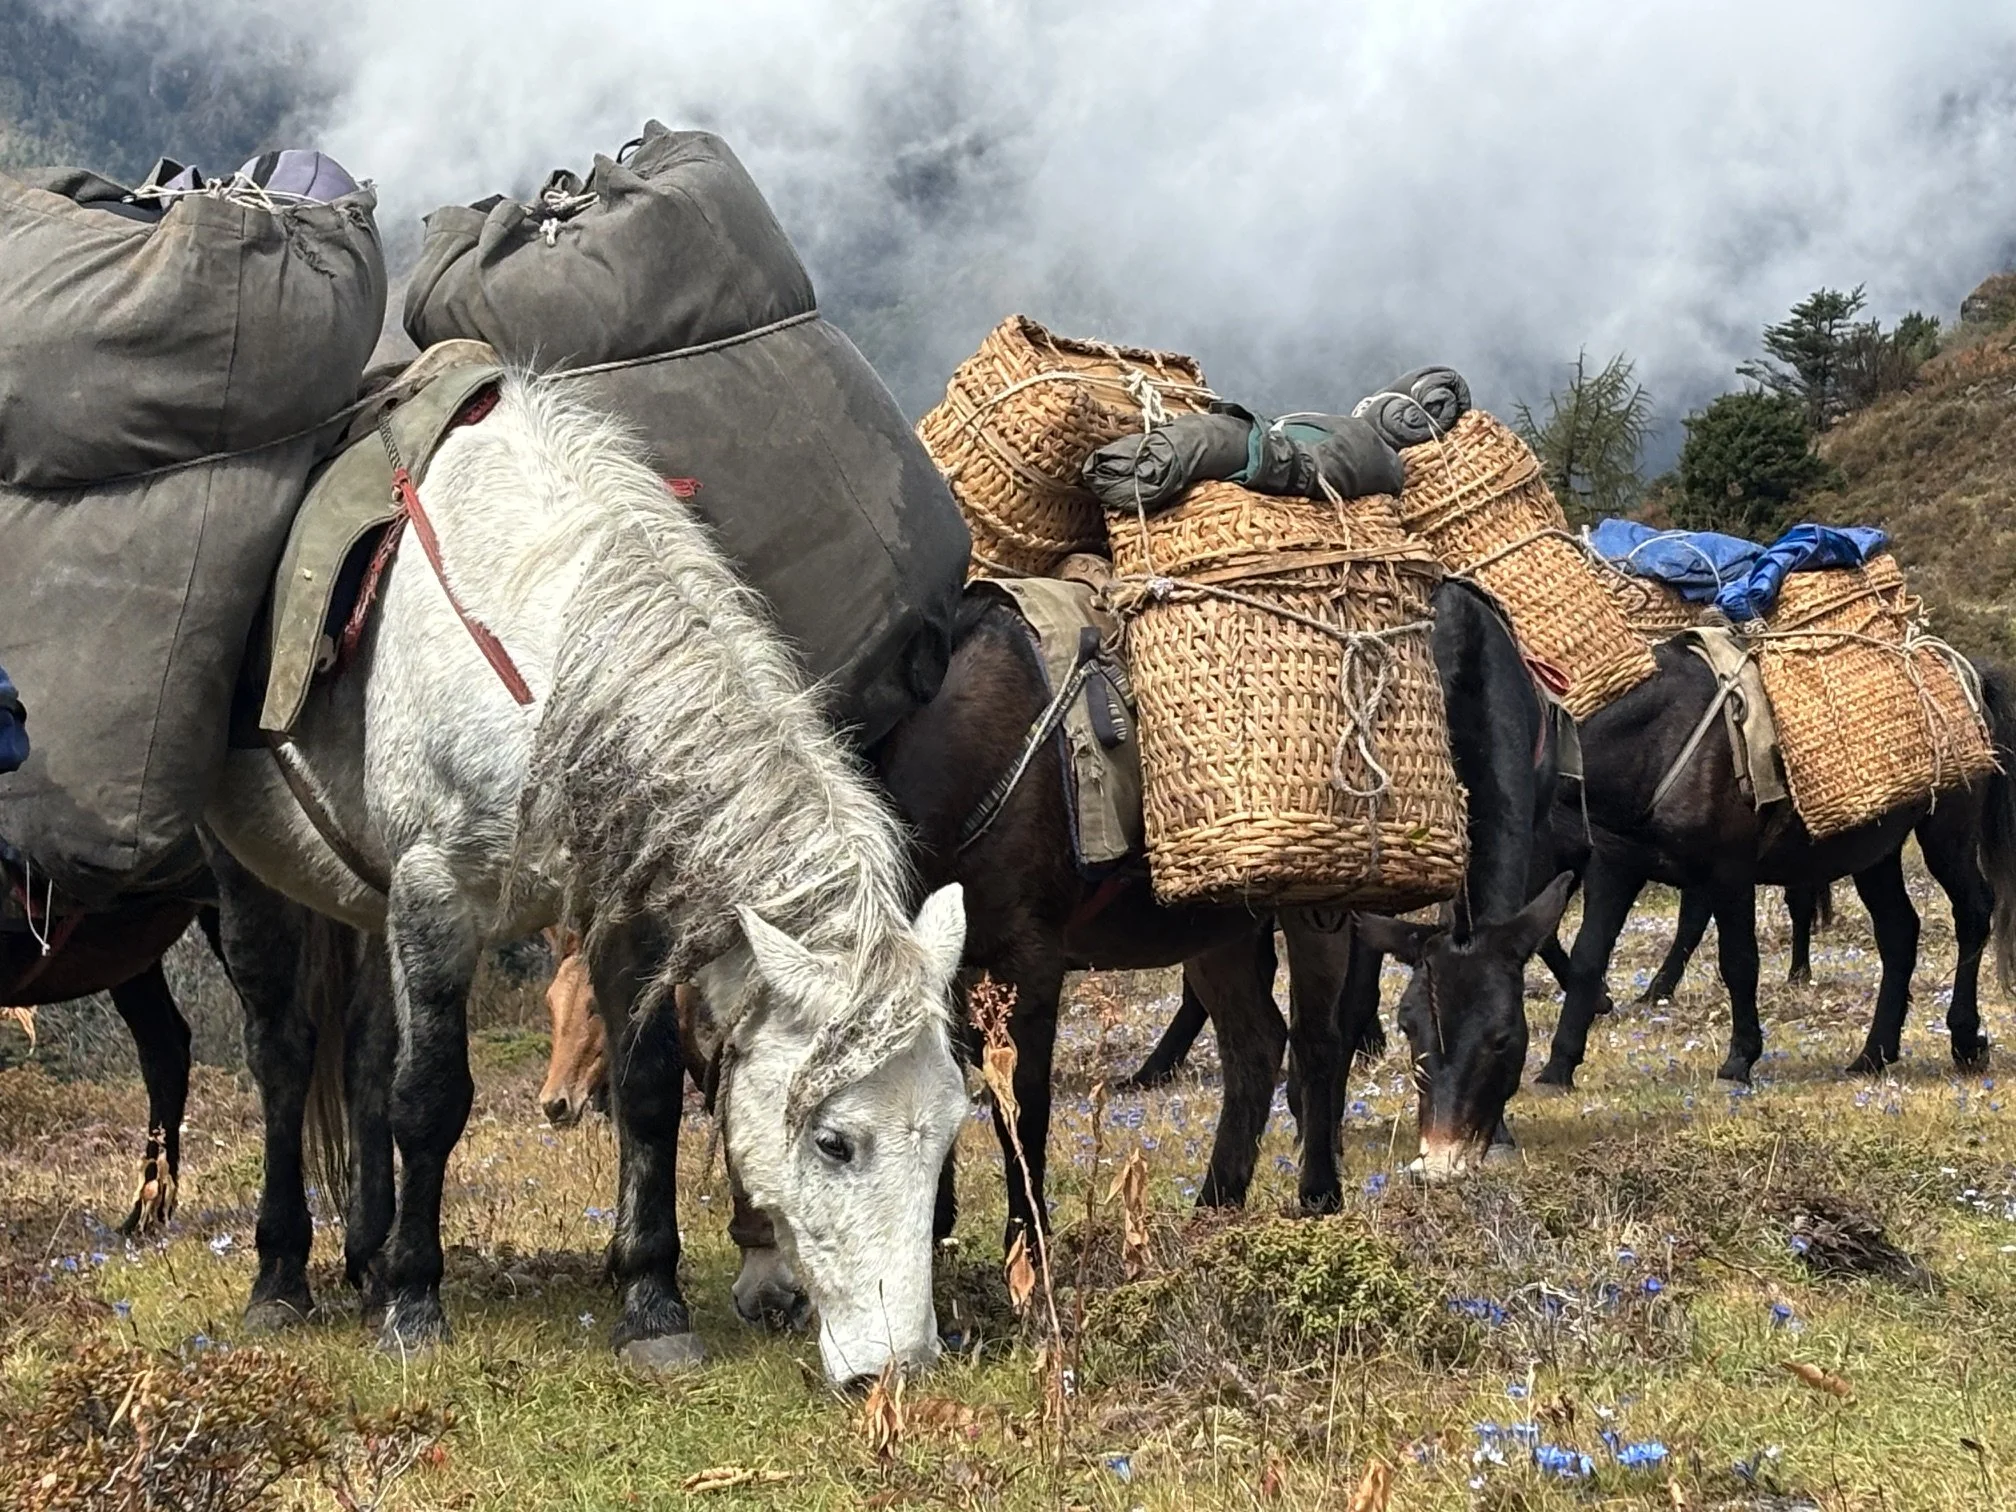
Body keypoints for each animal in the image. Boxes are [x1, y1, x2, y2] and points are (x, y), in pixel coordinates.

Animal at [203, 373, 968, 1387]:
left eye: (953, 1130)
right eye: (835, 1141)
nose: (899, 1367)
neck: (542, 669)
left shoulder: (621, 918)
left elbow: (645, 1094)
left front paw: (652, 1307)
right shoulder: (435, 898)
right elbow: (430, 1097)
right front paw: (415, 1308)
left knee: (362, 1057)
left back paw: (364, 1262)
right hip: (250, 879)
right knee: (286, 1056)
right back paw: (284, 1280)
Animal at [1536, 642, 2016, 1090]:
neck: (1656, 740)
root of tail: (1968, 674)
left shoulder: (1727, 874)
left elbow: (1739, 962)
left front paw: (1739, 1059)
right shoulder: (1615, 867)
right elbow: (1588, 957)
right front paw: (1558, 1067)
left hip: (1947, 834)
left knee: (1973, 913)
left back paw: (1966, 1041)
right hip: (1875, 854)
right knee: (1898, 932)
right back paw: (1874, 1053)